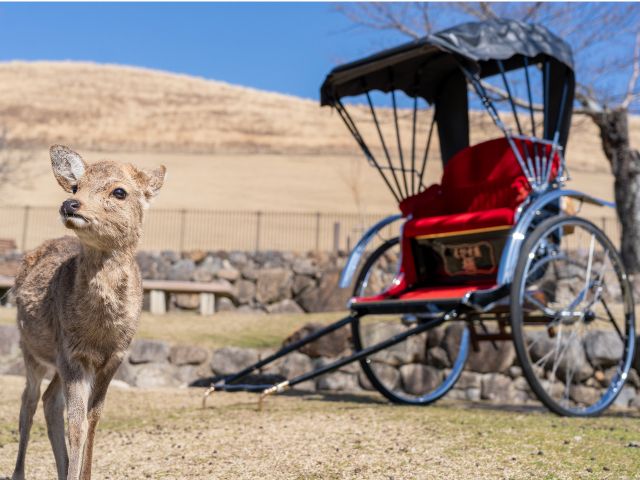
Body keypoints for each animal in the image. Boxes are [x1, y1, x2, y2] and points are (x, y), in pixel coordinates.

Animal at [11, 145, 165, 480]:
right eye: (75, 186)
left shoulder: (114, 357)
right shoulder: (73, 354)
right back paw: (19, 473)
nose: (70, 204)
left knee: (49, 400)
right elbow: (77, 423)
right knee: (29, 401)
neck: (99, 332)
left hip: (55, 360)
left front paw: (84, 473)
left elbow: (93, 420)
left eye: (119, 191)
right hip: (31, 347)